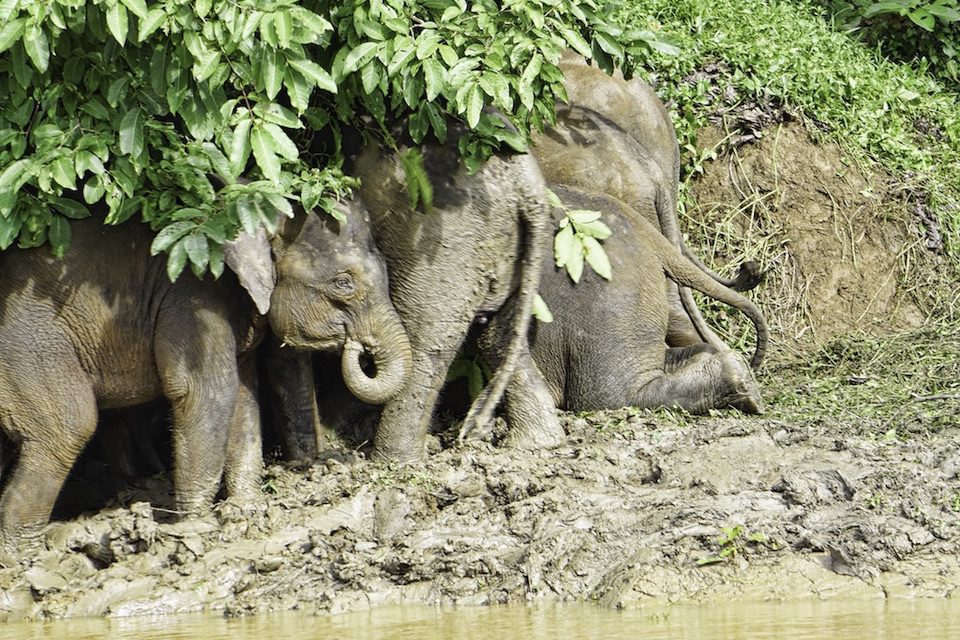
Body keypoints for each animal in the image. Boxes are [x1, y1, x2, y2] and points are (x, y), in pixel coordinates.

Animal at [0, 197, 411, 544]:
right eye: (343, 282)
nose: (358, 346)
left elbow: (244, 396)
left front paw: (246, 511)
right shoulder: (194, 297)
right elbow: (207, 390)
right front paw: (197, 527)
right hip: (28, 344)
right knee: (70, 426)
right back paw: (23, 553)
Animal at [344, 119, 564, 461]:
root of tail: (526, 181)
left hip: (445, 240)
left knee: (425, 340)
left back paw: (393, 461)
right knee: (498, 335)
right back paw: (538, 442)